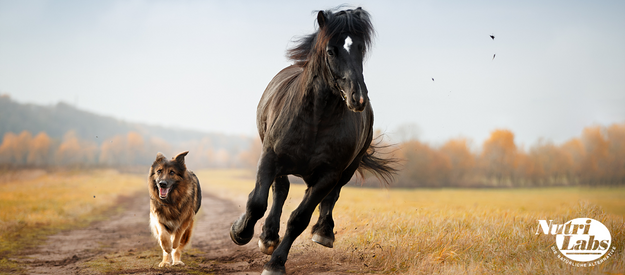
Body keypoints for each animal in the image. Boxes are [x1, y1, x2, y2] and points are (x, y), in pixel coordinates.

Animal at [229, 7, 394, 275]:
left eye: (360, 48)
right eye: (331, 51)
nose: (357, 98)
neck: (316, 119)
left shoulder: (328, 175)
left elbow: (299, 218)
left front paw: (276, 263)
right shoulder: (270, 157)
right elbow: (257, 202)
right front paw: (240, 232)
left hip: (345, 170)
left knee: (331, 196)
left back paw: (323, 232)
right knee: (280, 189)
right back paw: (267, 236)